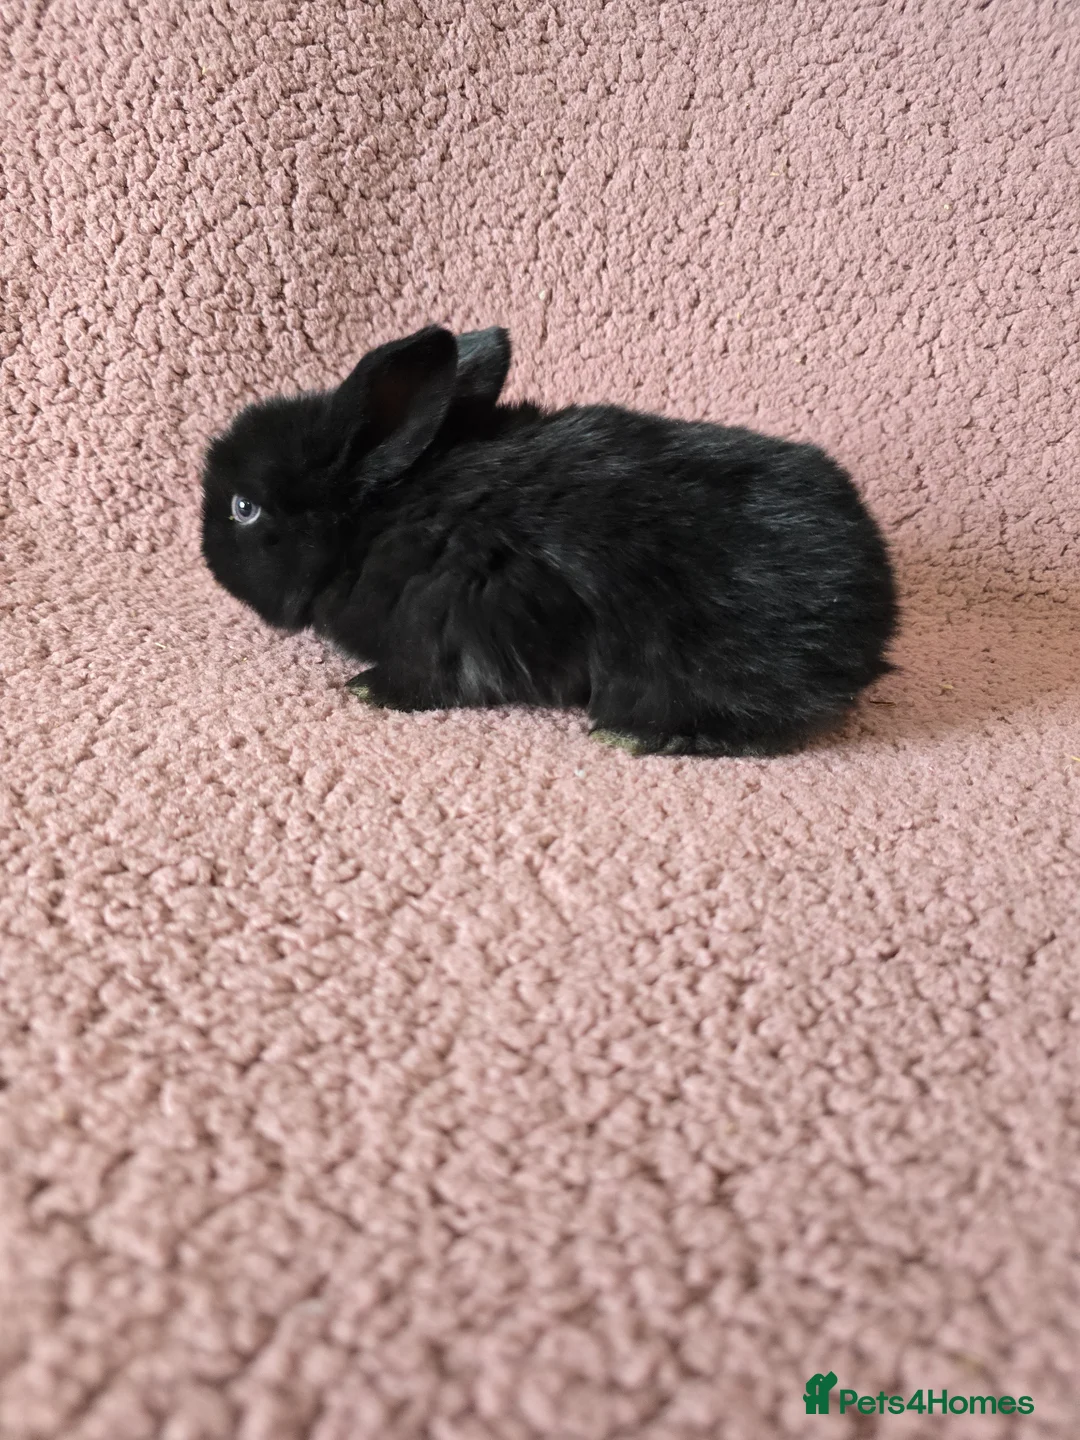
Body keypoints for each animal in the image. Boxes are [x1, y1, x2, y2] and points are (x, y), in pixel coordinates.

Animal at [201, 324, 897, 756]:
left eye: (243, 508)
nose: (205, 550)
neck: (377, 522)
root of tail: (878, 607)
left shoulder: (454, 631)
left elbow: (433, 680)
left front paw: (368, 690)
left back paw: (643, 737)